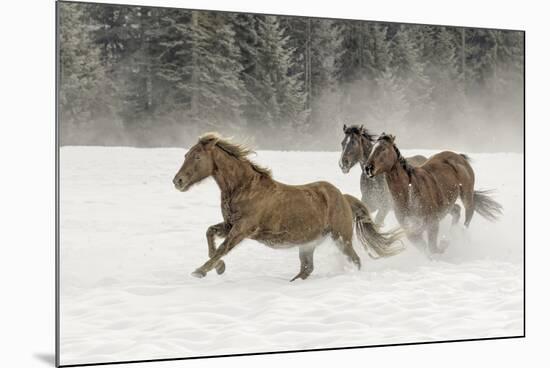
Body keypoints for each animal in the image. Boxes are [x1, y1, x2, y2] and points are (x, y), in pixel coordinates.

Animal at [172, 134, 406, 280]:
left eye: (197, 156)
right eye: (186, 155)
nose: (178, 181)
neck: (244, 188)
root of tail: (343, 197)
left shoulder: (242, 229)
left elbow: (222, 248)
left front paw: (200, 271)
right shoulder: (230, 224)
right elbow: (210, 233)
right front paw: (219, 268)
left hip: (341, 238)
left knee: (354, 260)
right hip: (308, 244)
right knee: (307, 268)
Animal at [366, 133, 504, 256]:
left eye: (383, 149)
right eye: (372, 149)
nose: (368, 168)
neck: (409, 194)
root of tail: (459, 157)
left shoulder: (432, 223)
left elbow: (433, 248)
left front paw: (444, 244)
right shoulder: (410, 229)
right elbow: (424, 247)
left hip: (466, 194)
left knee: (468, 213)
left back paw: (458, 236)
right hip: (447, 203)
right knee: (457, 210)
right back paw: (452, 234)